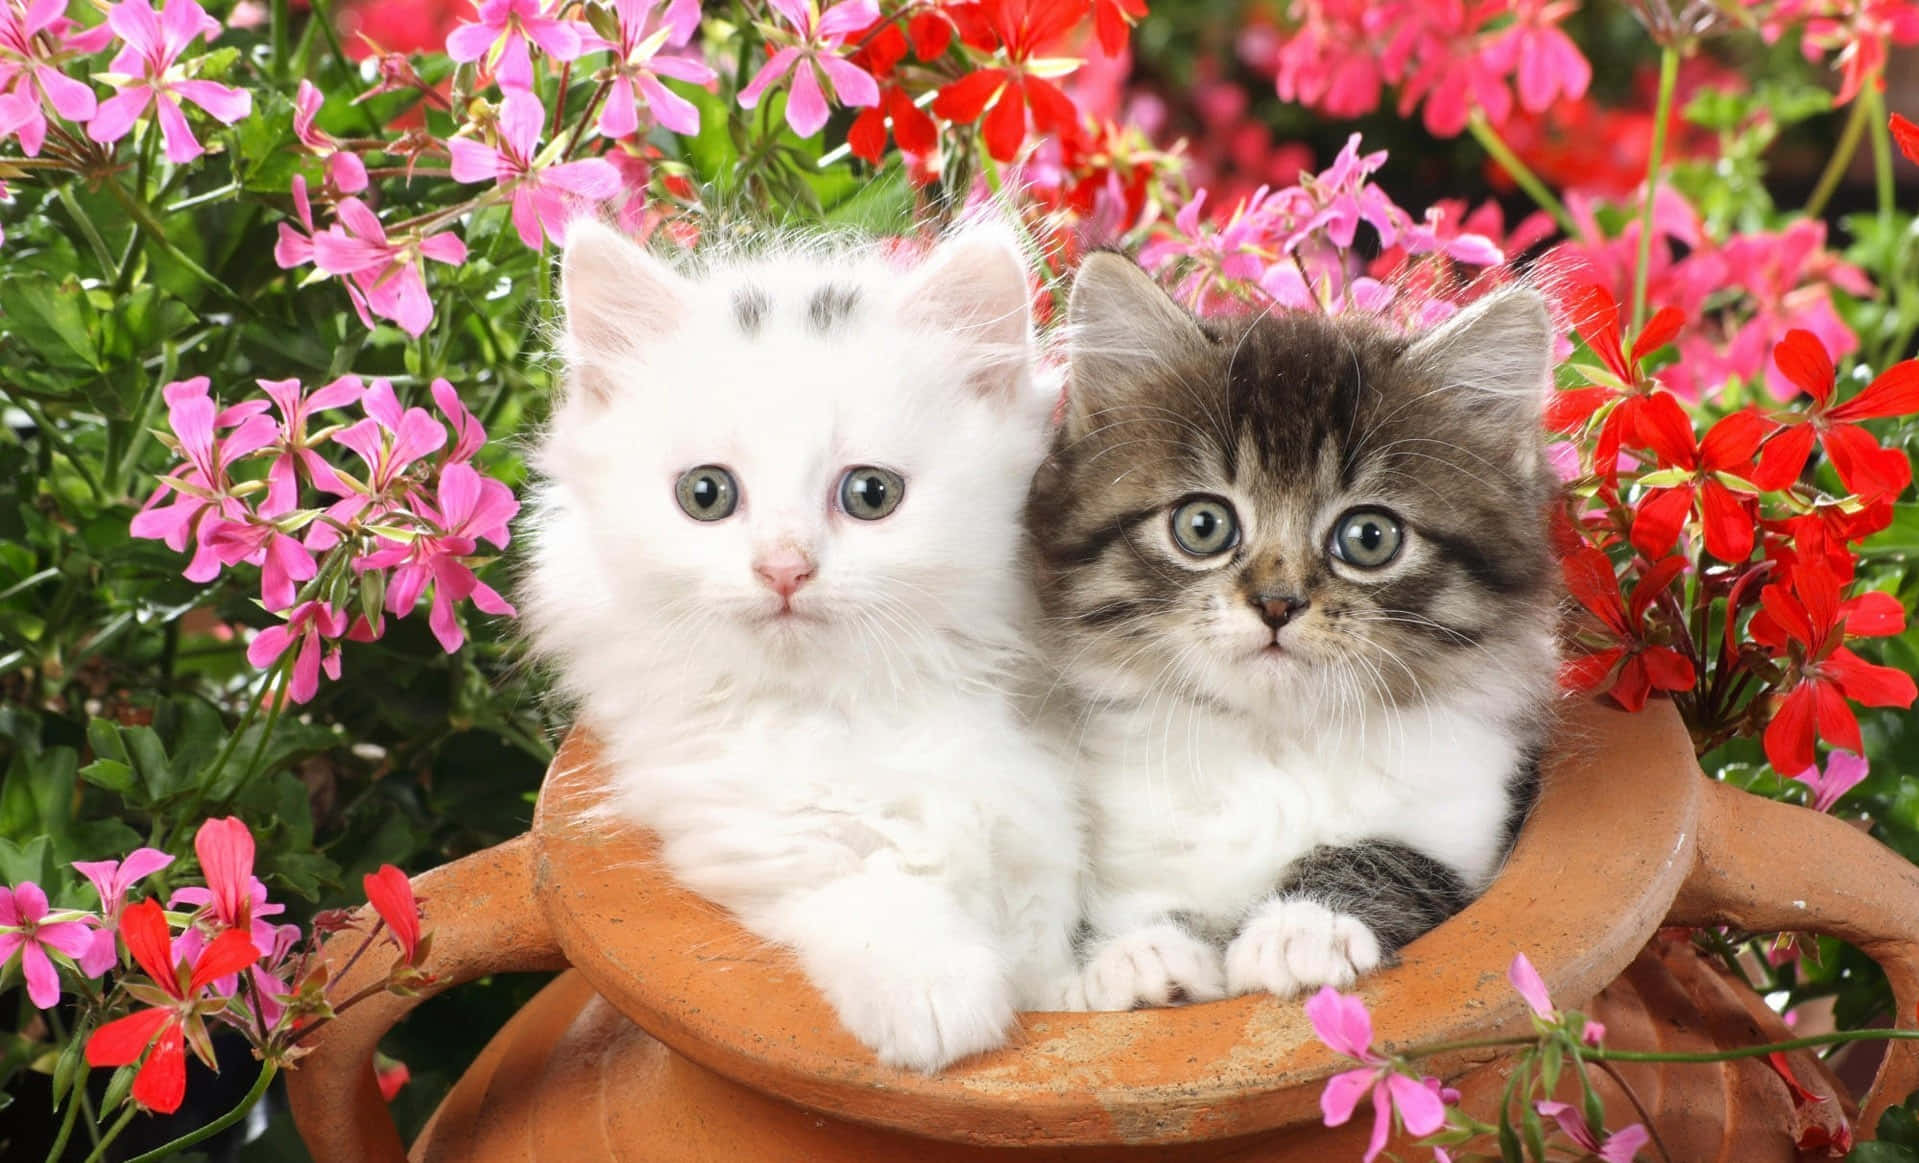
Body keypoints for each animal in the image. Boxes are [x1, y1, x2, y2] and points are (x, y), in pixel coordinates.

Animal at [521, 218, 1082, 1074]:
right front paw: (934, 997)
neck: (854, 703)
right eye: (706, 493)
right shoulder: (733, 817)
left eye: (871, 494)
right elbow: (861, 883)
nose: (783, 567)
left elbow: (1048, 951)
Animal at [1036, 257, 1558, 1013]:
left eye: (1369, 537)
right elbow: (1138, 904)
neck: (1276, 741)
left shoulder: (1473, 823)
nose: (1277, 604)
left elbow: (1388, 855)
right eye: (1202, 525)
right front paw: (1137, 953)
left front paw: (1300, 929)